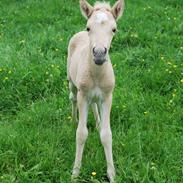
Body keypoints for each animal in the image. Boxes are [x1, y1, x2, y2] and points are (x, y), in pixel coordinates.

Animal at [67, 0, 124, 182]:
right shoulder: (83, 95)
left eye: (114, 29)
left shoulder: (107, 97)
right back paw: (73, 119)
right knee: (72, 98)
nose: (99, 54)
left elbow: (106, 135)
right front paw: (75, 172)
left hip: (96, 96)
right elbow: (81, 133)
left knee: (94, 105)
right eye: (88, 27)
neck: (97, 75)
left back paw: (98, 123)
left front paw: (112, 174)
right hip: (72, 83)